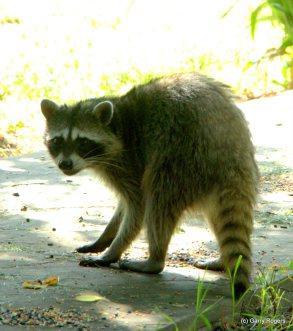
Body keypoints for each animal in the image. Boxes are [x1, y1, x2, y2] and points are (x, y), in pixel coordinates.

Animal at [41, 72, 258, 298]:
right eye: (57, 141)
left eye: (82, 142)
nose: (65, 164)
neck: (117, 122)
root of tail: (231, 154)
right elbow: (123, 208)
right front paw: (105, 237)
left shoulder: (130, 160)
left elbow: (137, 207)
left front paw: (113, 250)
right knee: (216, 215)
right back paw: (222, 260)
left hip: (182, 157)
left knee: (158, 202)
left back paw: (154, 260)